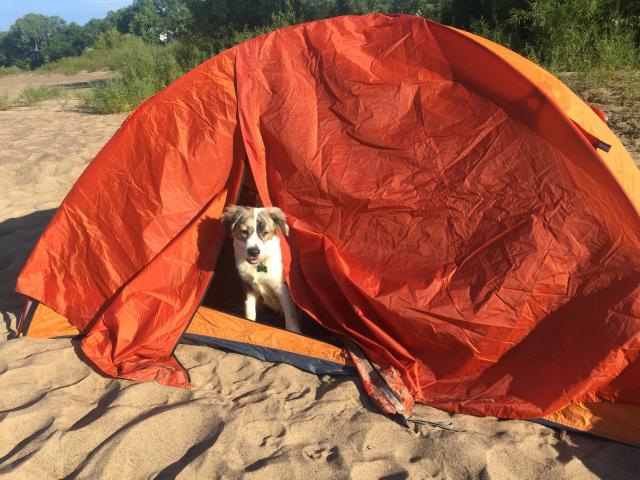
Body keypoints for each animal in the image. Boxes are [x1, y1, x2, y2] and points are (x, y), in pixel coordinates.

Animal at [221, 203, 302, 334]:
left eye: (265, 232)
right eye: (244, 231)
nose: (254, 252)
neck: (258, 264)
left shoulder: (283, 288)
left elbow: (291, 317)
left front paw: (294, 333)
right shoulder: (249, 287)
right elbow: (250, 311)